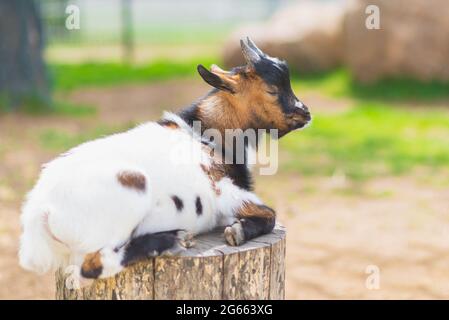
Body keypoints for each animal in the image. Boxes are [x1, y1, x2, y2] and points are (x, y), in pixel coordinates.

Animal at [19, 38, 310, 280]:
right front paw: (237, 232)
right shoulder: (224, 191)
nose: (305, 113)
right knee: (93, 266)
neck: (205, 135)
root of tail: (39, 212)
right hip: (128, 192)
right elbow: (269, 213)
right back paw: (173, 240)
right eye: (272, 89)